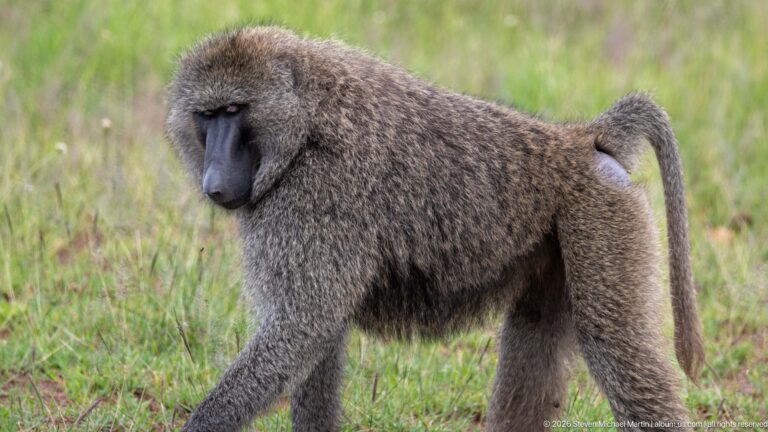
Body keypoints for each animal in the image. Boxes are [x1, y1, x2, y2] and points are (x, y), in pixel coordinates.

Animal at [165, 26, 704, 432]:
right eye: (205, 116)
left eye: (234, 111)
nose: (215, 182)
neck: (305, 120)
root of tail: (579, 141)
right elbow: (318, 337)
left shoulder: (315, 194)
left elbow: (303, 324)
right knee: (534, 337)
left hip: (599, 215)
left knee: (616, 345)